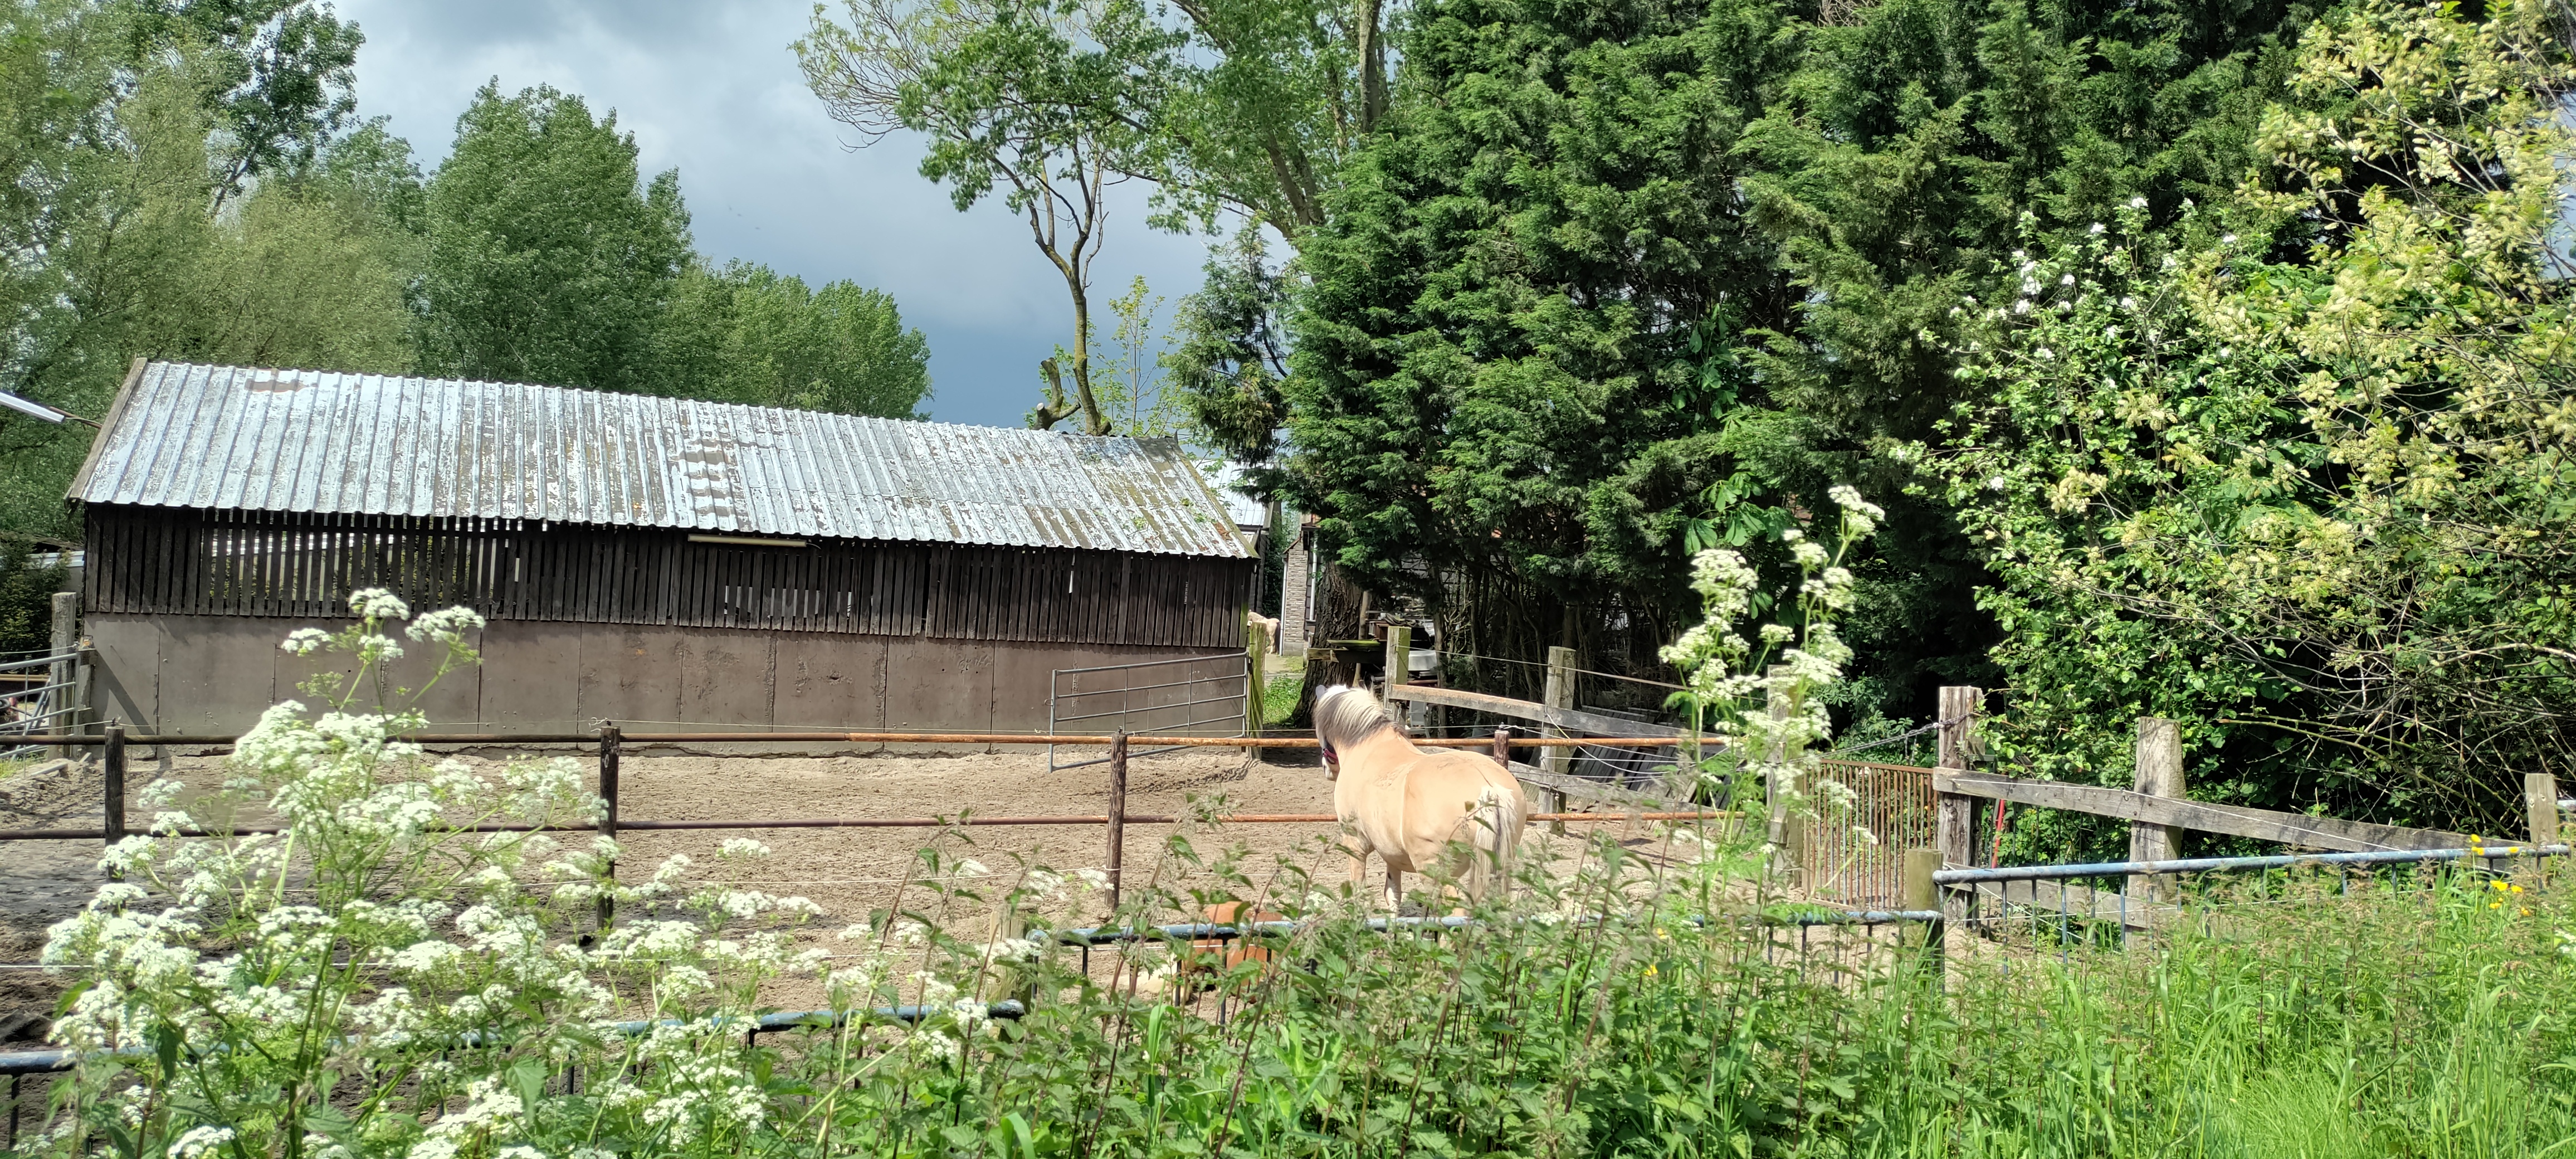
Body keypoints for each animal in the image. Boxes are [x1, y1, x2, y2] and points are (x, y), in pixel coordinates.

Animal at [1313, 684, 1529, 912]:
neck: (1367, 747)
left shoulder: (1355, 845)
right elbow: (1393, 896)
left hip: (1436, 870)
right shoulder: (1392, 855)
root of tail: (1489, 788)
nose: (1327, 769)